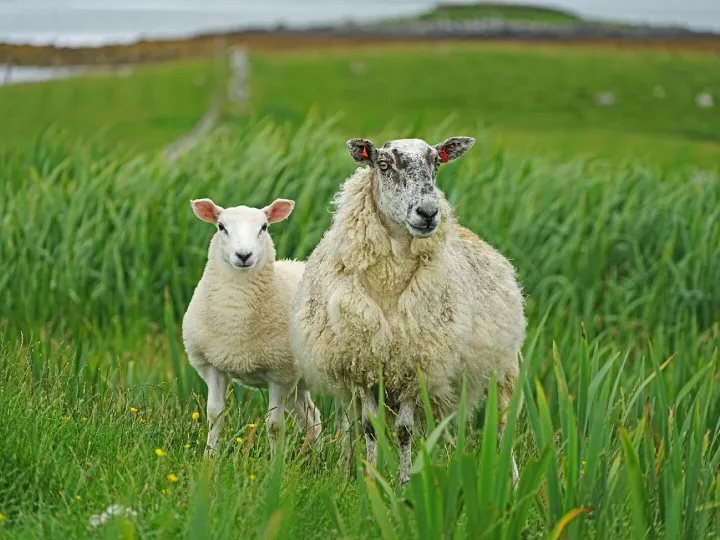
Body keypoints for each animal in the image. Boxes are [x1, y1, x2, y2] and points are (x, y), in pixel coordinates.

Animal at [182, 197, 322, 458]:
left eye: (264, 227)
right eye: (221, 227)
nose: (244, 255)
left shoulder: (280, 375)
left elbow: (274, 426)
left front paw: (275, 464)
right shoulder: (213, 366)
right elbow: (214, 415)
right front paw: (209, 458)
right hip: (298, 384)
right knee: (312, 418)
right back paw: (315, 457)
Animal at [290, 137, 526, 486]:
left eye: (437, 163)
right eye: (384, 164)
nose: (428, 213)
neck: (389, 282)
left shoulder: (414, 364)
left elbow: (404, 431)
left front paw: (403, 485)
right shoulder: (365, 366)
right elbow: (370, 428)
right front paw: (370, 482)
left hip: (503, 370)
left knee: (502, 428)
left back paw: (511, 483)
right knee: (351, 427)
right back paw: (349, 470)